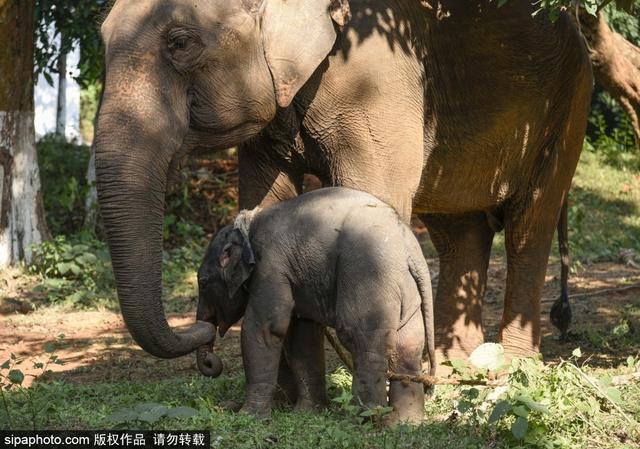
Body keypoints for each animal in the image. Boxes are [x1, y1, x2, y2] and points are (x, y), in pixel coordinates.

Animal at [94, 0, 592, 373]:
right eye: (101, 39)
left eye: (180, 43)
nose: (206, 347)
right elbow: (266, 199)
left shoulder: (378, 71)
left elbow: (373, 197)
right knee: (460, 231)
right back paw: (455, 362)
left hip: (568, 102)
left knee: (530, 225)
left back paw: (513, 364)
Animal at [195, 187, 436, 423]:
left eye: (202, 282)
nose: (211, 363)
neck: (247, 229)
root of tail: (411, 249)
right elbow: (302, 334)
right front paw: (307, 413)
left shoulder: (271, 266)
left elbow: (267, 329)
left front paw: (248, 417)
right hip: (406, 289)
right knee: (408, 344)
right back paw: (404, 422)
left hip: (370, 277)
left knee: (359, 338)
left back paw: (363, 419)